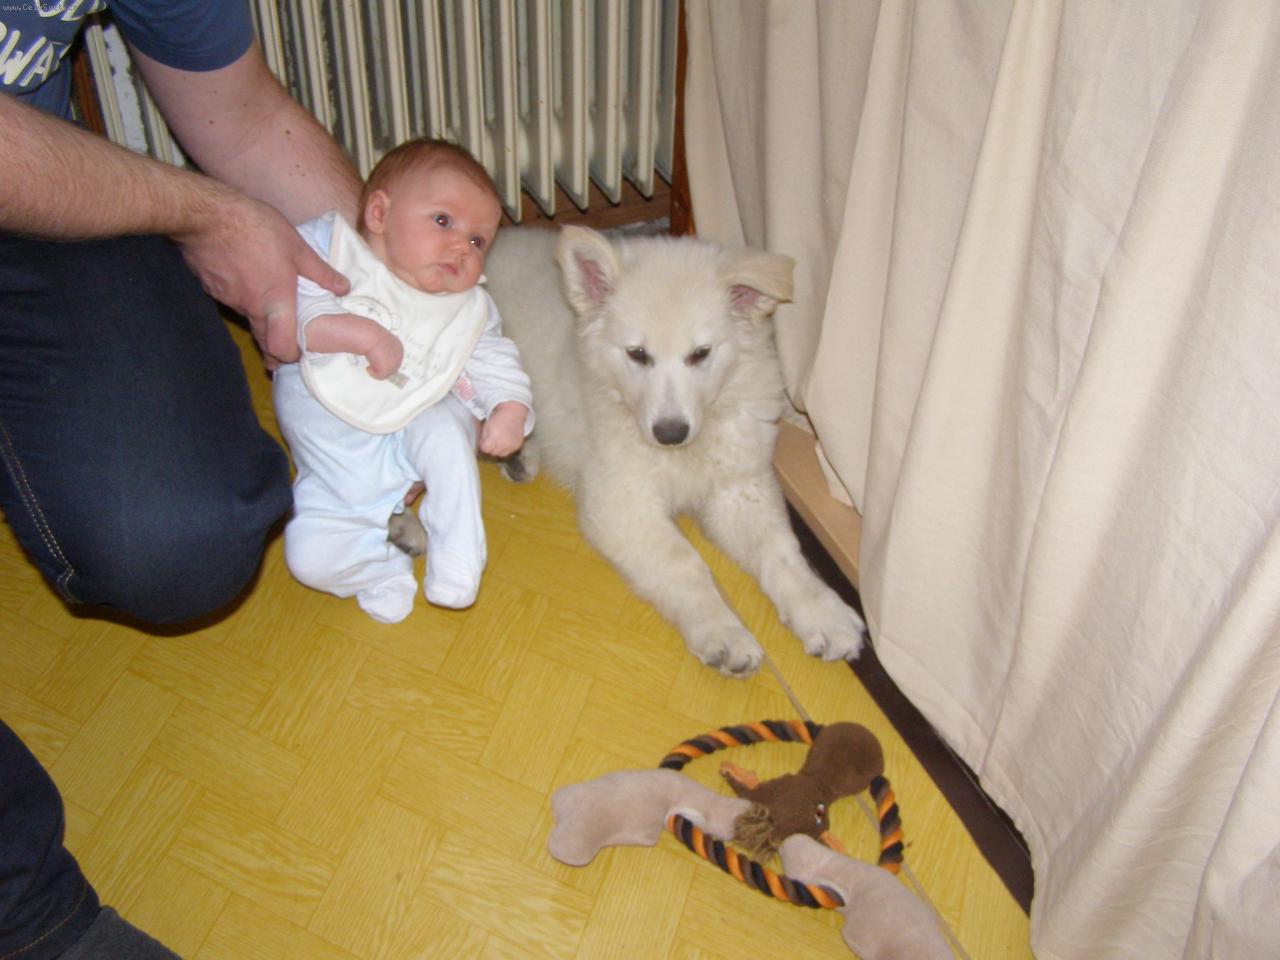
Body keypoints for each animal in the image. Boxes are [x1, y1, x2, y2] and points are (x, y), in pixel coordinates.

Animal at [475, 225, 866, 677]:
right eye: (638, 354)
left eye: (700, 354)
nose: (670, 432)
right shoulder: (622, 502)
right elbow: (684, 563)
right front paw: (722, 632)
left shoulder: (739, 488)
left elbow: (781, 550)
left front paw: (822, 613)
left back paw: (519, 457)